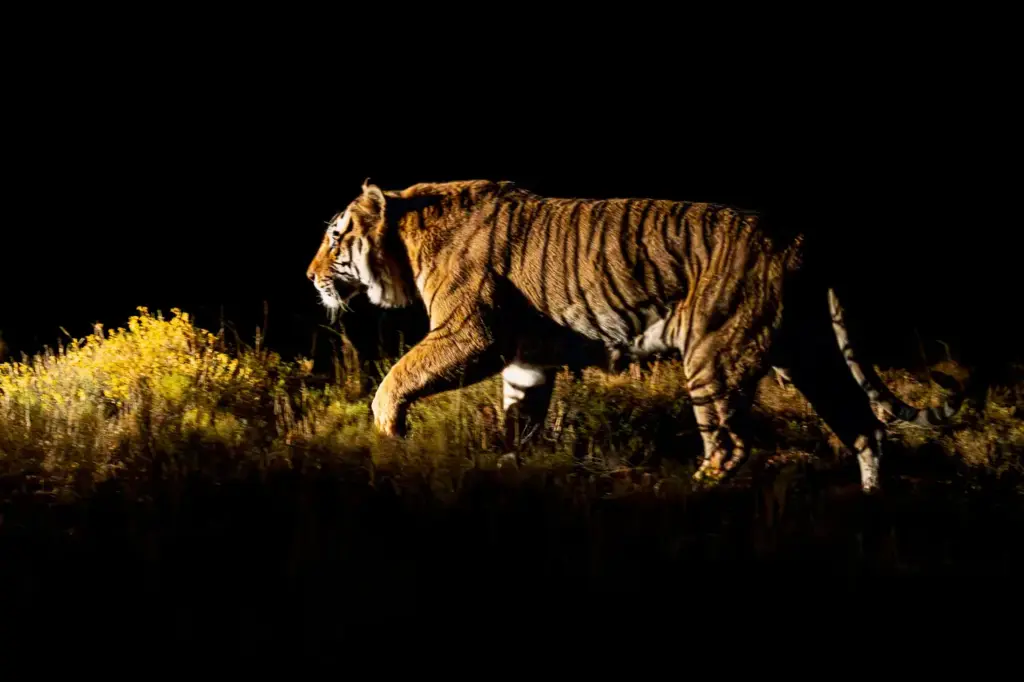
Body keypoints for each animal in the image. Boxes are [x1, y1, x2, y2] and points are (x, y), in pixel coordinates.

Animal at [306, 179, 962, 493]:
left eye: (336, 236)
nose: (309, 276)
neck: (406, 240)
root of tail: (800, 239)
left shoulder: (472, 334)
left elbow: (397, 377)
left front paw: (390, 430)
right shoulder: (525, 361)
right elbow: (520, 419)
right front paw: (509, 464)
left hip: (715, 356)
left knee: (729, 446)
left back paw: (685, 495)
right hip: (809, 354)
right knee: (866, 427)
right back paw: (873, 506)